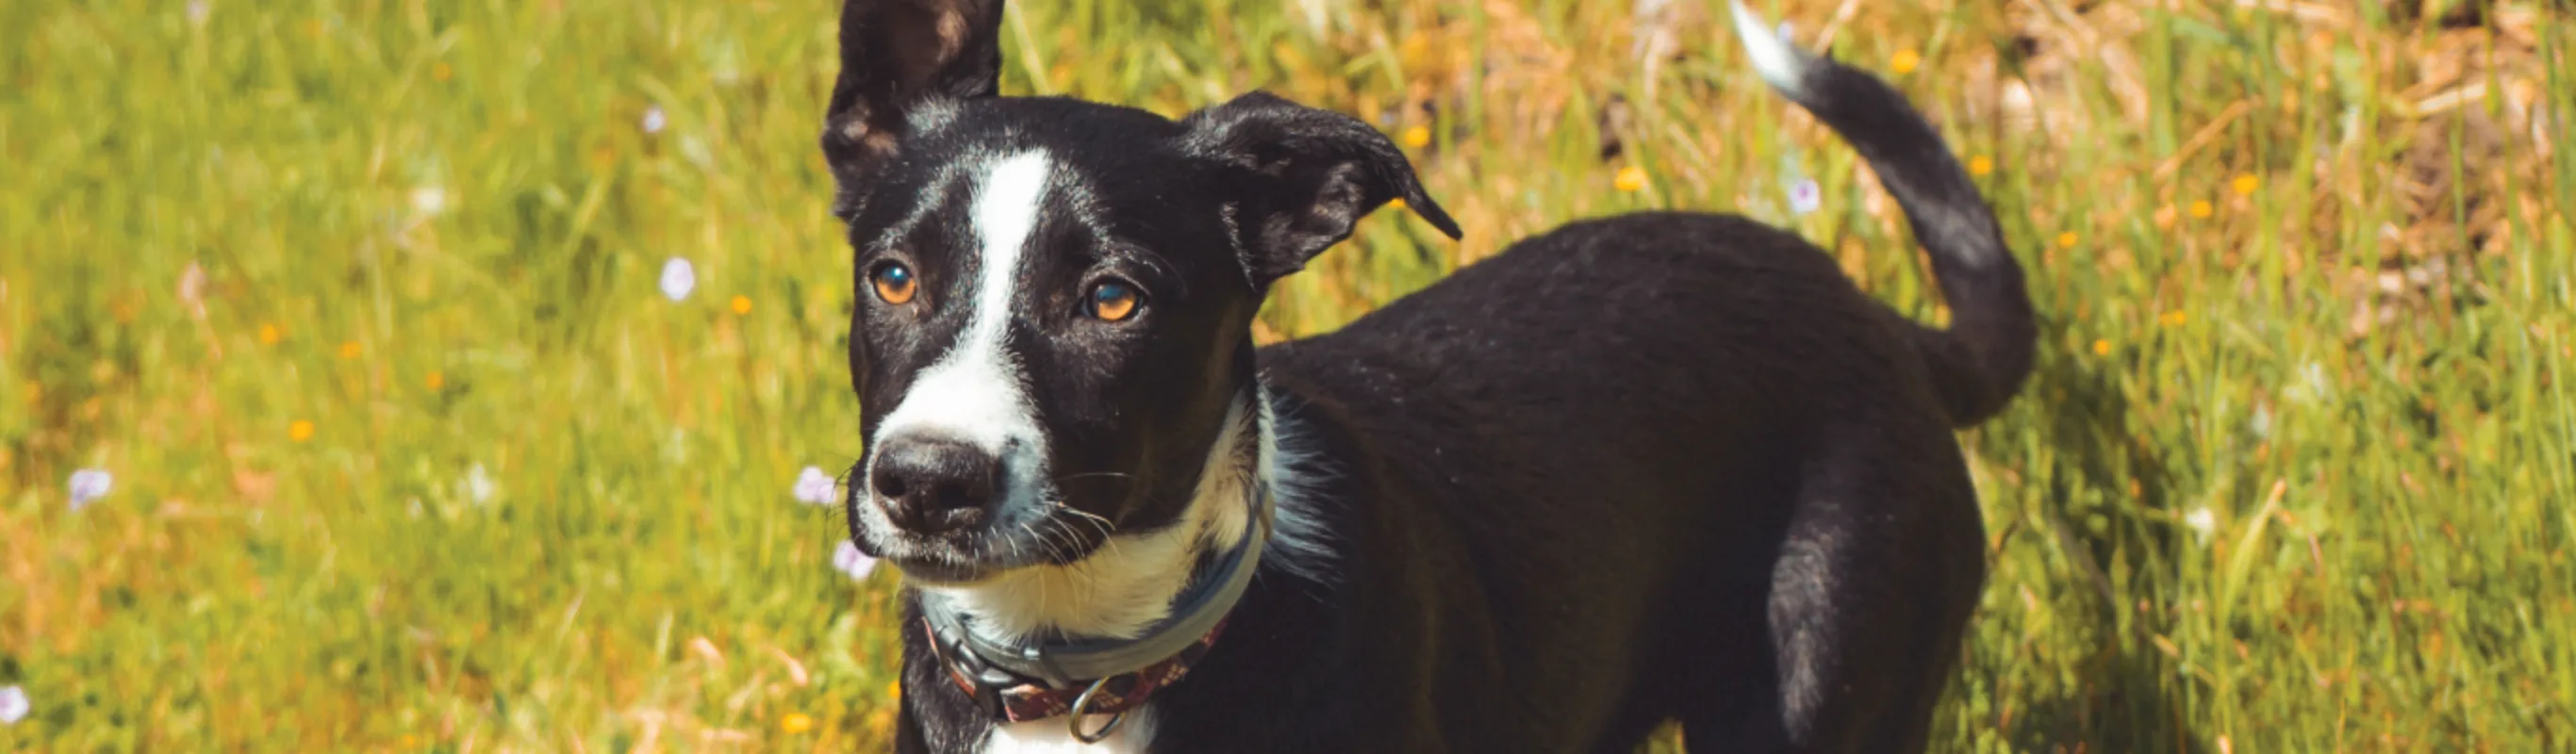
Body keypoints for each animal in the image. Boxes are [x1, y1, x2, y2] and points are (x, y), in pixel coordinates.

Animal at [824, 0, 2029, 746]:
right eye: (893, 277)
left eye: (1112, 299)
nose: (926, 481)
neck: (1082, 676)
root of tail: (1868, 314)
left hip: (1828, 664)